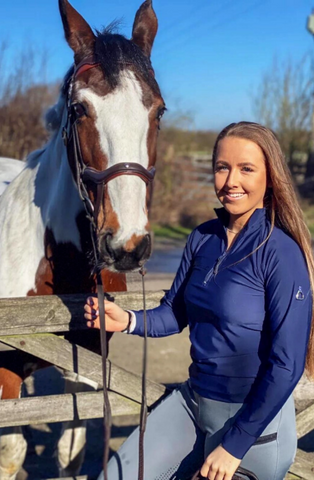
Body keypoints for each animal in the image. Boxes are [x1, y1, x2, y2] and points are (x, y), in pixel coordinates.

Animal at [0, 1, 166, 478]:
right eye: (78, 109)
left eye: (159, 111)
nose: (126, 245)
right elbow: (11, 450)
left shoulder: (89, 366)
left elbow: (68, 448)